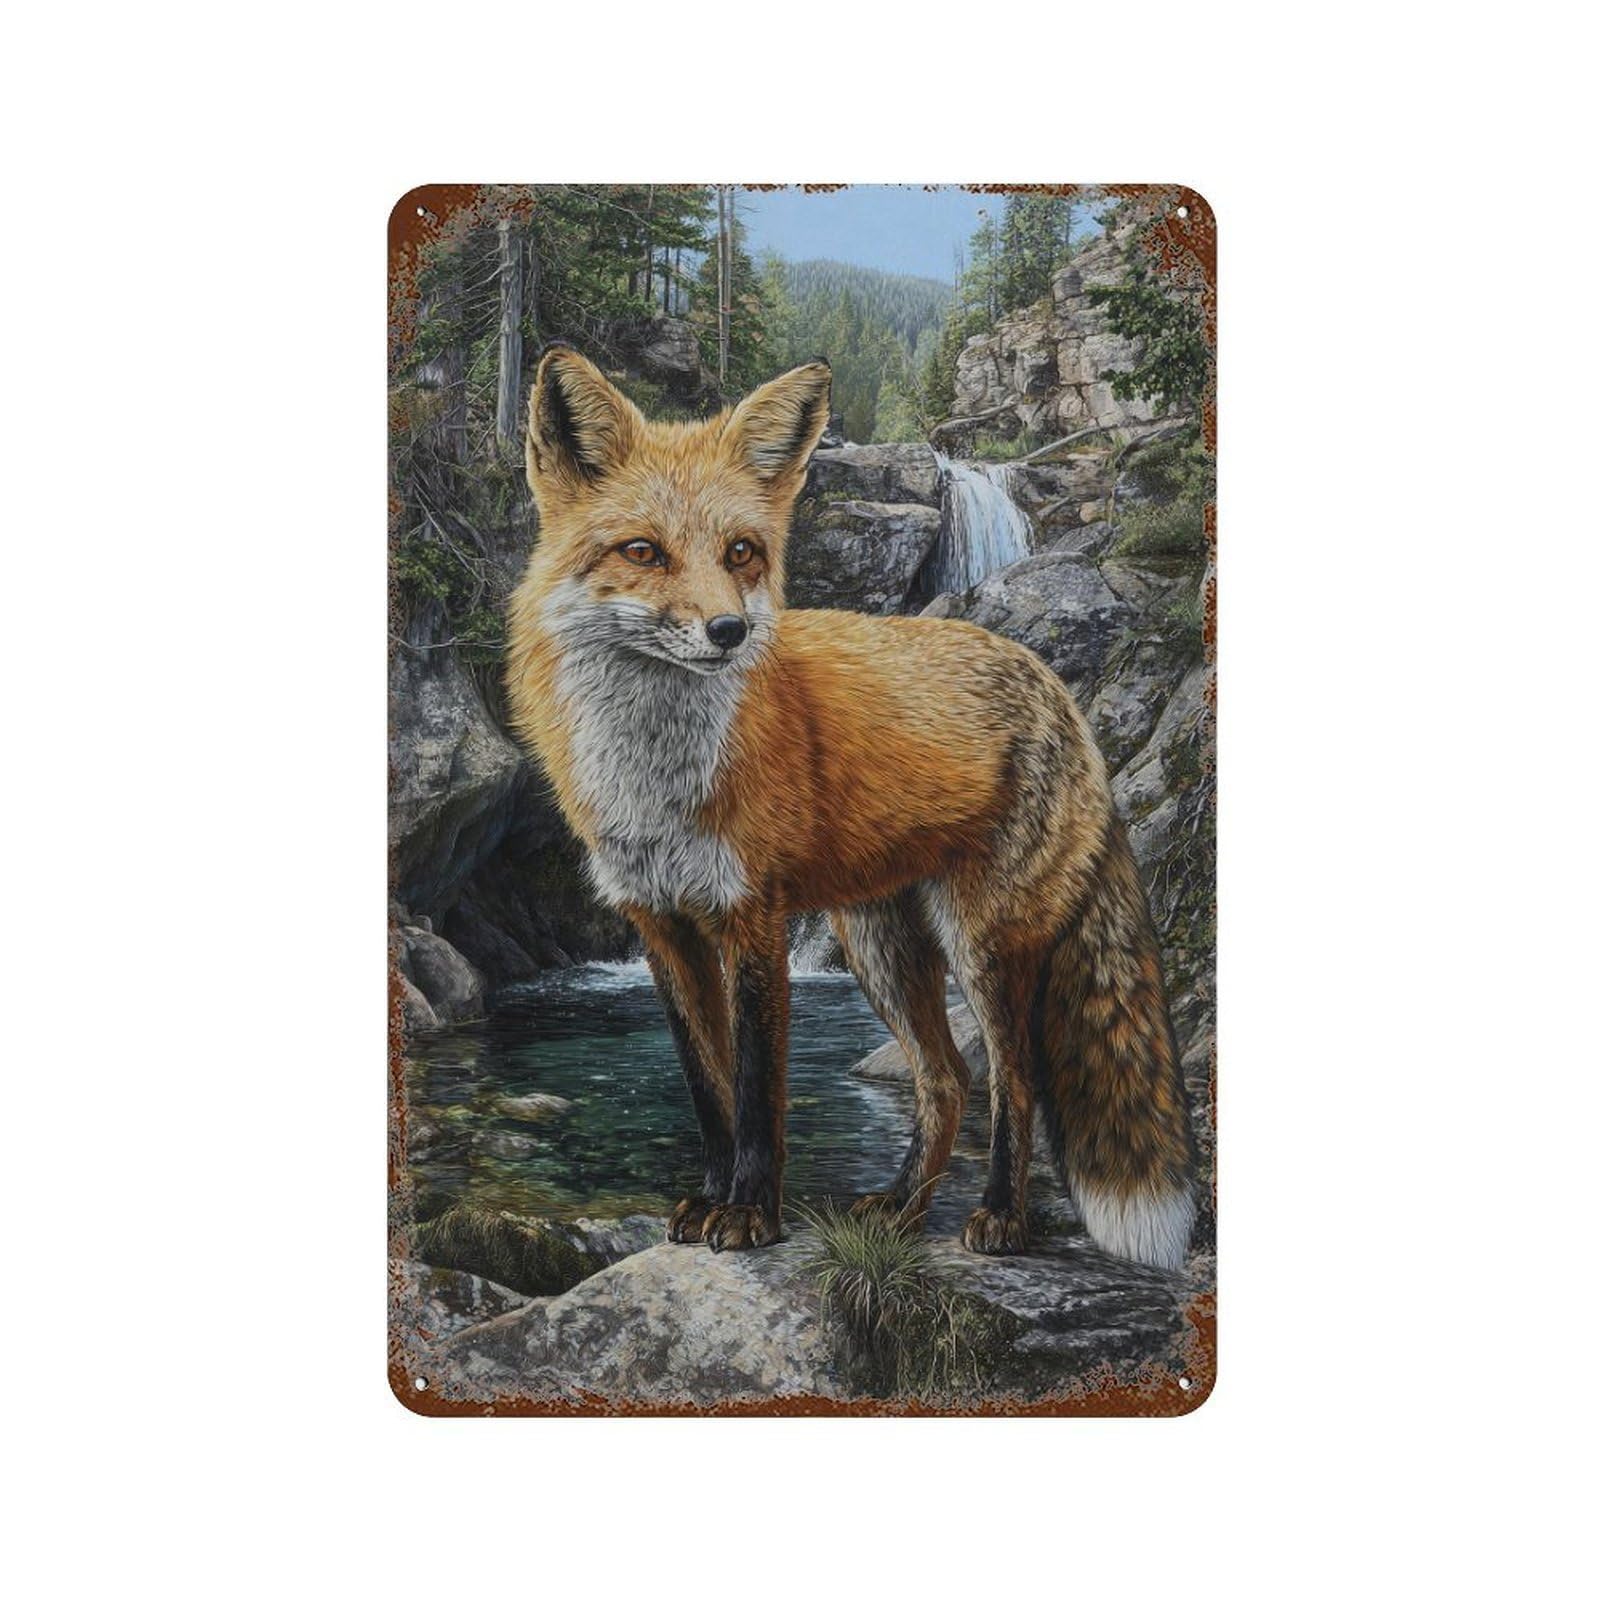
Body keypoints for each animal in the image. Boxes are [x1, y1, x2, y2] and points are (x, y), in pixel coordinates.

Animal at [504, 345, 1196, 1269]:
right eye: (643, 551)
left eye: (742, 552)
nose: (728, 631)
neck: (657, 775)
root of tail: (1051, 681)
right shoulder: (662, 925)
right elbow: (709, 1091)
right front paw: (710, 1200)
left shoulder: (751, 918)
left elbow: (759, 1094)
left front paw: (749, 1215)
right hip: (879, 948)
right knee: (947, 1080)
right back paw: (899, 1209)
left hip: (981, 945)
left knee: (1013, 1080)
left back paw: (1001, 1217)